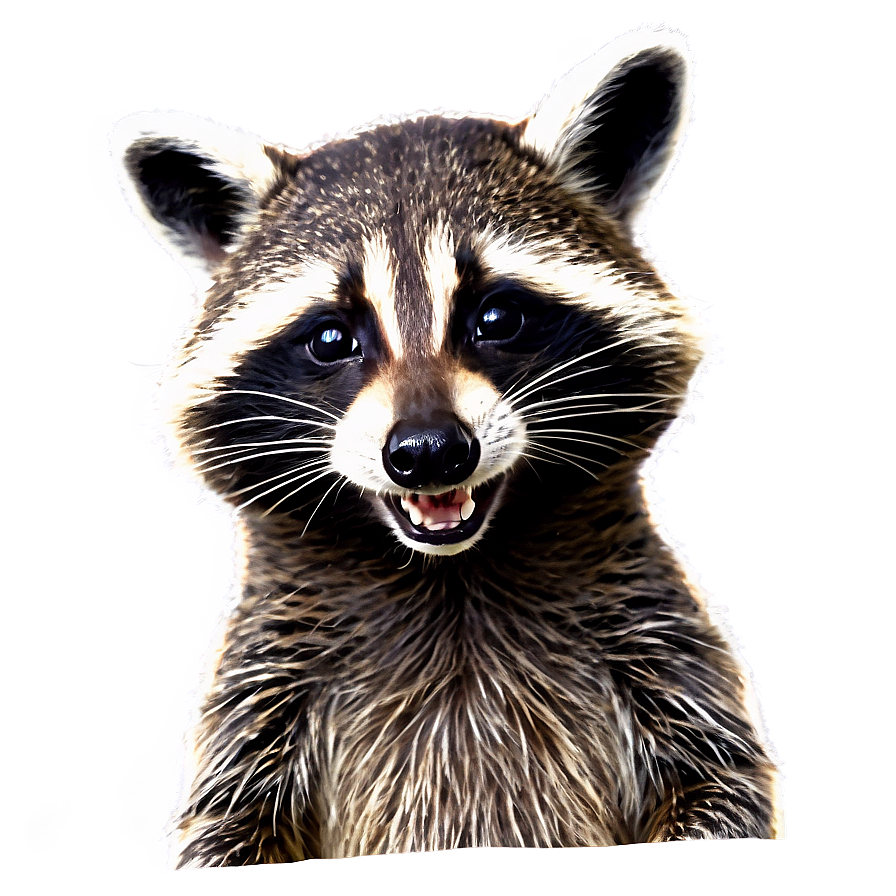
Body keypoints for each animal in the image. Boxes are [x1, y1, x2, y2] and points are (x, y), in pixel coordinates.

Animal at [110, 29, 783, 869]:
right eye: (331, 338)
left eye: (496, 318)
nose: (429, 453)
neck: (450, 573)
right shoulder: (265, 686)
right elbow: (233, 823)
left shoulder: (656, 643)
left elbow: (716, 787)